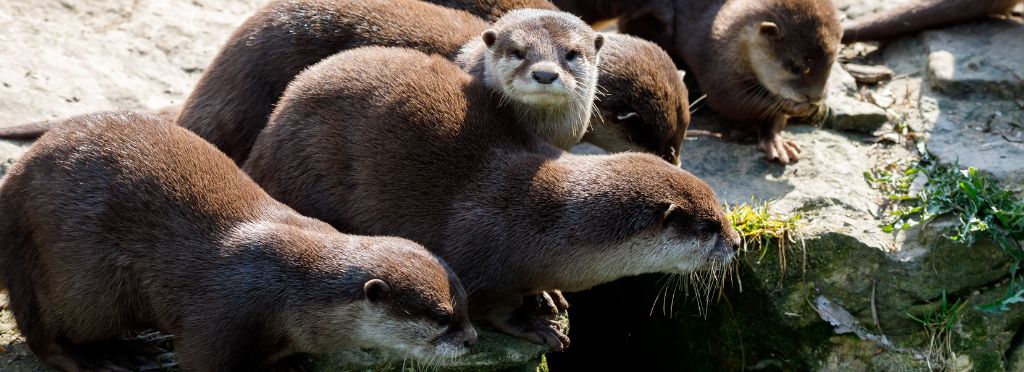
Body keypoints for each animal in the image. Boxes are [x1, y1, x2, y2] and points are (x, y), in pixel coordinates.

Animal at [0, 111, 475, 372]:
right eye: (440, 316)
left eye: (465, 308)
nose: (472, 339)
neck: (290, 294)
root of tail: (13, 187)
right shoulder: (221, 318)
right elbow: (198, 357)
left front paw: (290, 363)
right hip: (74, 275)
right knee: (45, 334)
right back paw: (104, 358)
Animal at [239, 46, 737, 352]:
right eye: (707, 225)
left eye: (722, 209)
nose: (737, 243)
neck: (551, 224)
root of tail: (266, 136)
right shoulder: (480, 256)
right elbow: (488, 307)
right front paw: (537, 325)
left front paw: (547, 296)